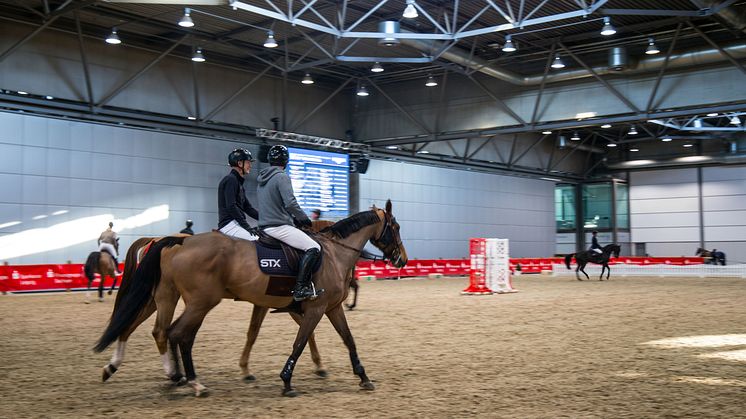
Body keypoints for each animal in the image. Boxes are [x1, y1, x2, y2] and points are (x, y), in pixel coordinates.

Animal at [96, 203, 406, 398]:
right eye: (396, 227)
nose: (401, 259)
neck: (330, 253)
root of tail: (175, 241)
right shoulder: (313, 308)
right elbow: (299, 340)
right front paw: (287, 380)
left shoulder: (328, 308)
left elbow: (347, 339)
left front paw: (363, 377)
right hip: (198, 302)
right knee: (175, 334)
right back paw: (189, 381)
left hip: (164, 298)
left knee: (147, 329)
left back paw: (138, 370)